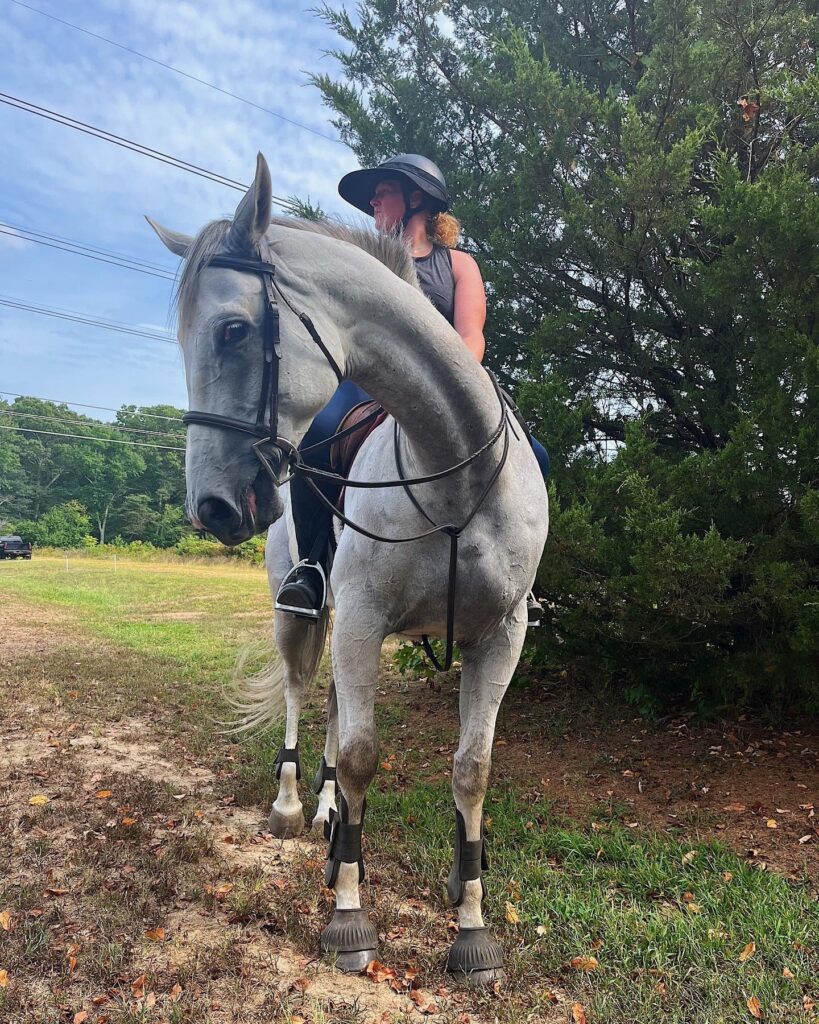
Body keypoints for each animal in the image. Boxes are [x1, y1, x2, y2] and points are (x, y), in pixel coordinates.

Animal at [148, 152, 548, 984]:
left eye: (233, 330)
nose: (212, 507)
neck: (451, 469)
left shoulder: (498, 638)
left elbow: (472, 767)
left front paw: (471, 926)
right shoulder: (361, 620)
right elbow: (363, 755)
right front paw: (348, 919)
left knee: (333, 704)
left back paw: (332, 821)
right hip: (300, 611)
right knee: (303, 691)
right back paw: (296, 806)